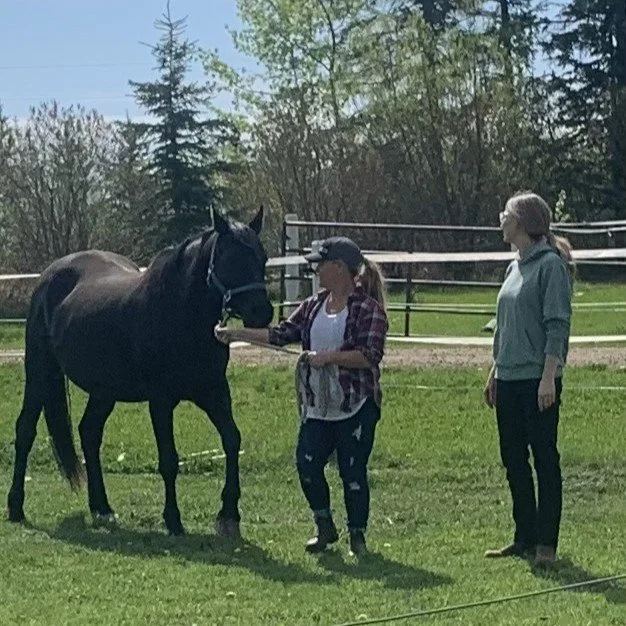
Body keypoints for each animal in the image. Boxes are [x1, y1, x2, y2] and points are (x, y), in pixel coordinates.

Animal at [6, 207, 273, 538]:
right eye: (230, 258)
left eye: (262, 257)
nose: (263, 313)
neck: (179, 312)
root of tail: (49, 275)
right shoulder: (161, 401)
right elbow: (169, 459)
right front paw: (173, 520)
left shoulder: (214, 392)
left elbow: (232, 440)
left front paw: (228, 515)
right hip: (40, 372)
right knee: (25, 431)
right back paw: (16, 506)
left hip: (103, 390)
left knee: (89, 433)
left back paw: (102, 508)